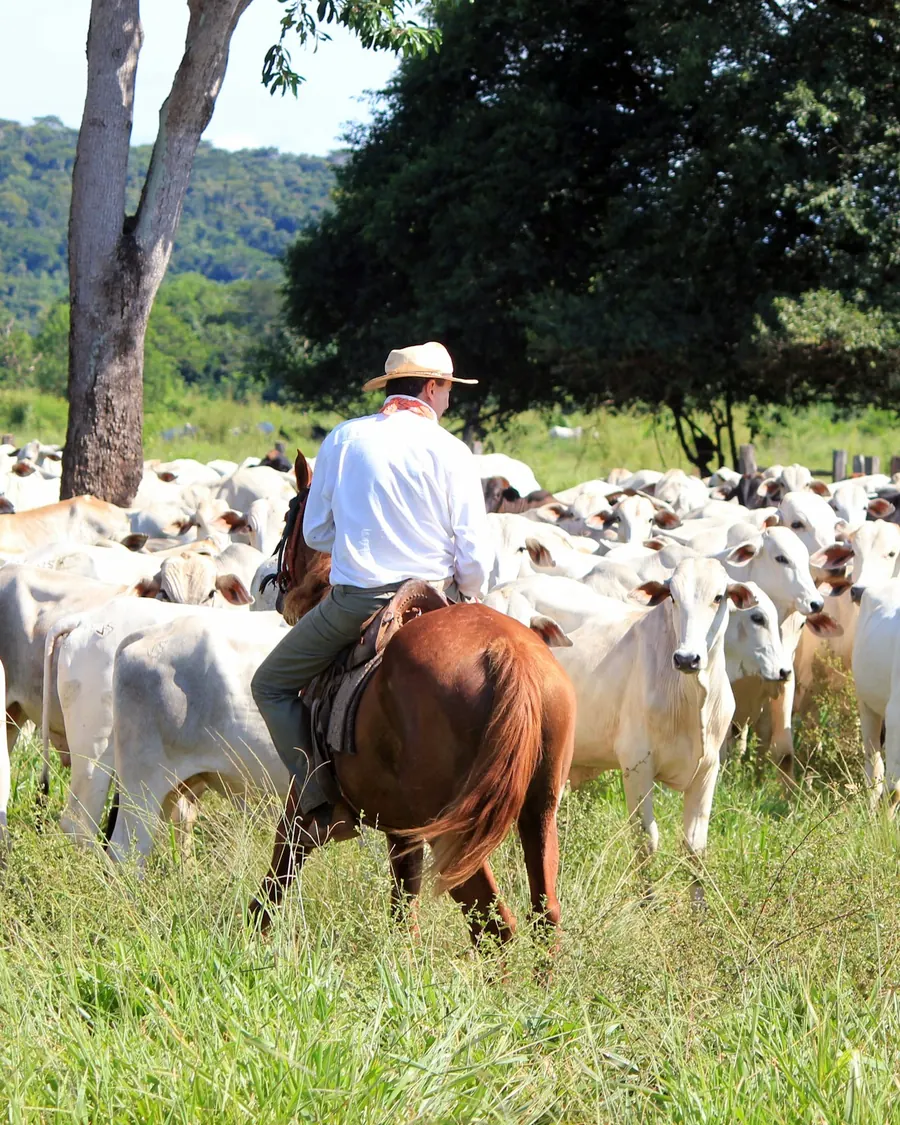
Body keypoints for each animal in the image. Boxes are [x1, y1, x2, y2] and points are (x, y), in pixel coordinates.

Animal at [249, 451, 577, 947]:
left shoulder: (300, 805)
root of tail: (509, 653)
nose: (278, 590)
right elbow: (403, 907)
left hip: (456, 831)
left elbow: (276, 879)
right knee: (544, 915)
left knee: (494, 924)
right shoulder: (402, 831)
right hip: (538, 813)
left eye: (290, 515)